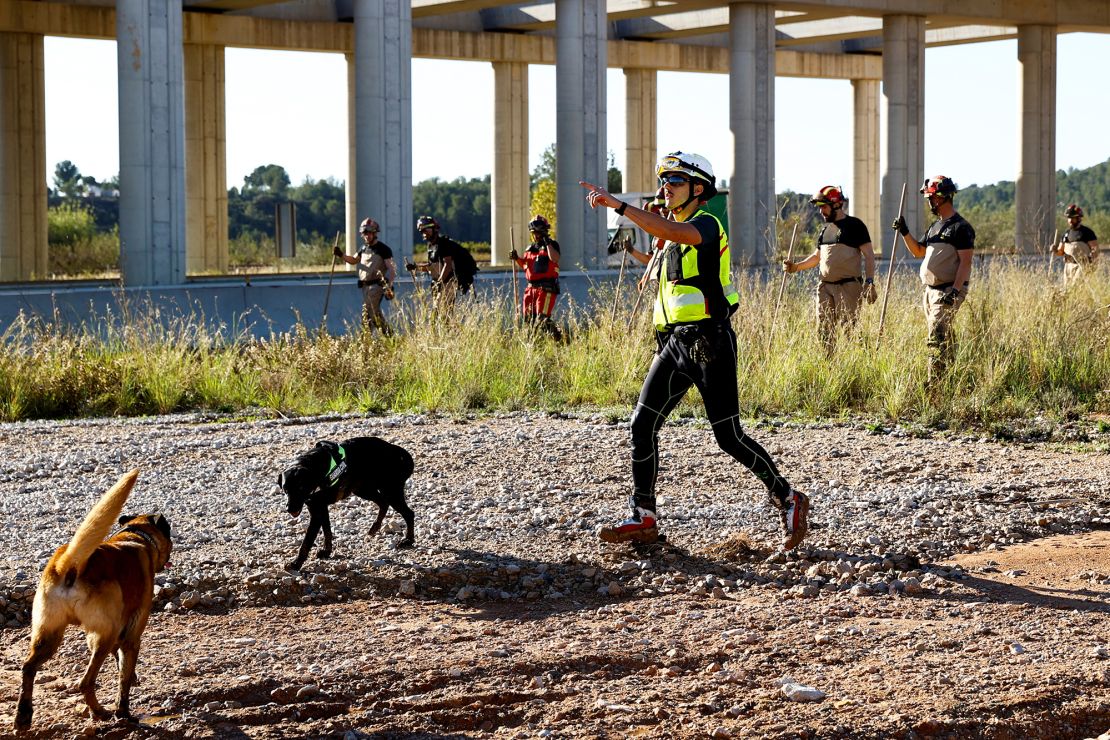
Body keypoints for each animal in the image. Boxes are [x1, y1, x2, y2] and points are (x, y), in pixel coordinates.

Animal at [13, 468, 169, 727]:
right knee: (85, 682)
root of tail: (71, 564)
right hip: (103, 635)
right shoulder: (130, 634)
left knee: (28, 668)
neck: (135, 536)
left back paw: (23, 716)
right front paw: (123, 711)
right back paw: (99, 711)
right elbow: (123, 679)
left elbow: (122, 666)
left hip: (48, 633)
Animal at [277, 437, 417, 572]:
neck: (319, 464)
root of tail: (397, 450)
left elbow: (307, 542)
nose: (289, 509)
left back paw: (408, 540)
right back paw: (374, 528)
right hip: (363, 490)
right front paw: (327, 551)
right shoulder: (320, 507)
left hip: (390, 492)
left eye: (301, 488)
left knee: (408, 513)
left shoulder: (319, 505)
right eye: (285, 490)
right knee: (383, 503)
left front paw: (296, 564)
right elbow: (327, 531)